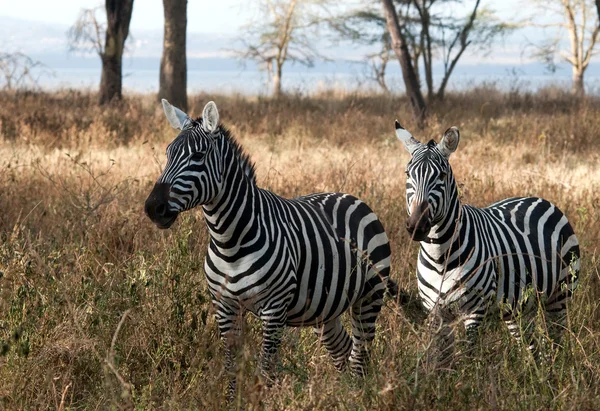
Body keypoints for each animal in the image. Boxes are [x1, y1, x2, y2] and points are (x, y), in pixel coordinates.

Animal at [144, 100, 396, 400]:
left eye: (199, 155)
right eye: (168, 153)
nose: (153, 208)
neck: (229, 241)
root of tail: (351, 197)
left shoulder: (274, 310)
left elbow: (265, 371)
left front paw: (262, 401)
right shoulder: (224, 306)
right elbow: (232, 366)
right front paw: (233, 402)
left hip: (369, 295)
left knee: (360, 353)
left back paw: (358, 396)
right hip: (325, 309)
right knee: (344, 351)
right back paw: (344, 395)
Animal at [394, 121, 580, 364]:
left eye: (441, 175)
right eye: (408, 174)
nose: (417, 226)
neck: (439, 256)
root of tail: (540, 199)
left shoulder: (475, 311)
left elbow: (468, 359)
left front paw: (469, 375)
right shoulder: (436, 313)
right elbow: (442, 362)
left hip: (560, 295)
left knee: (557, 341)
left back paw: (555, 371)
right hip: (519, 307)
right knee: (533, 348)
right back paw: (536, 372)